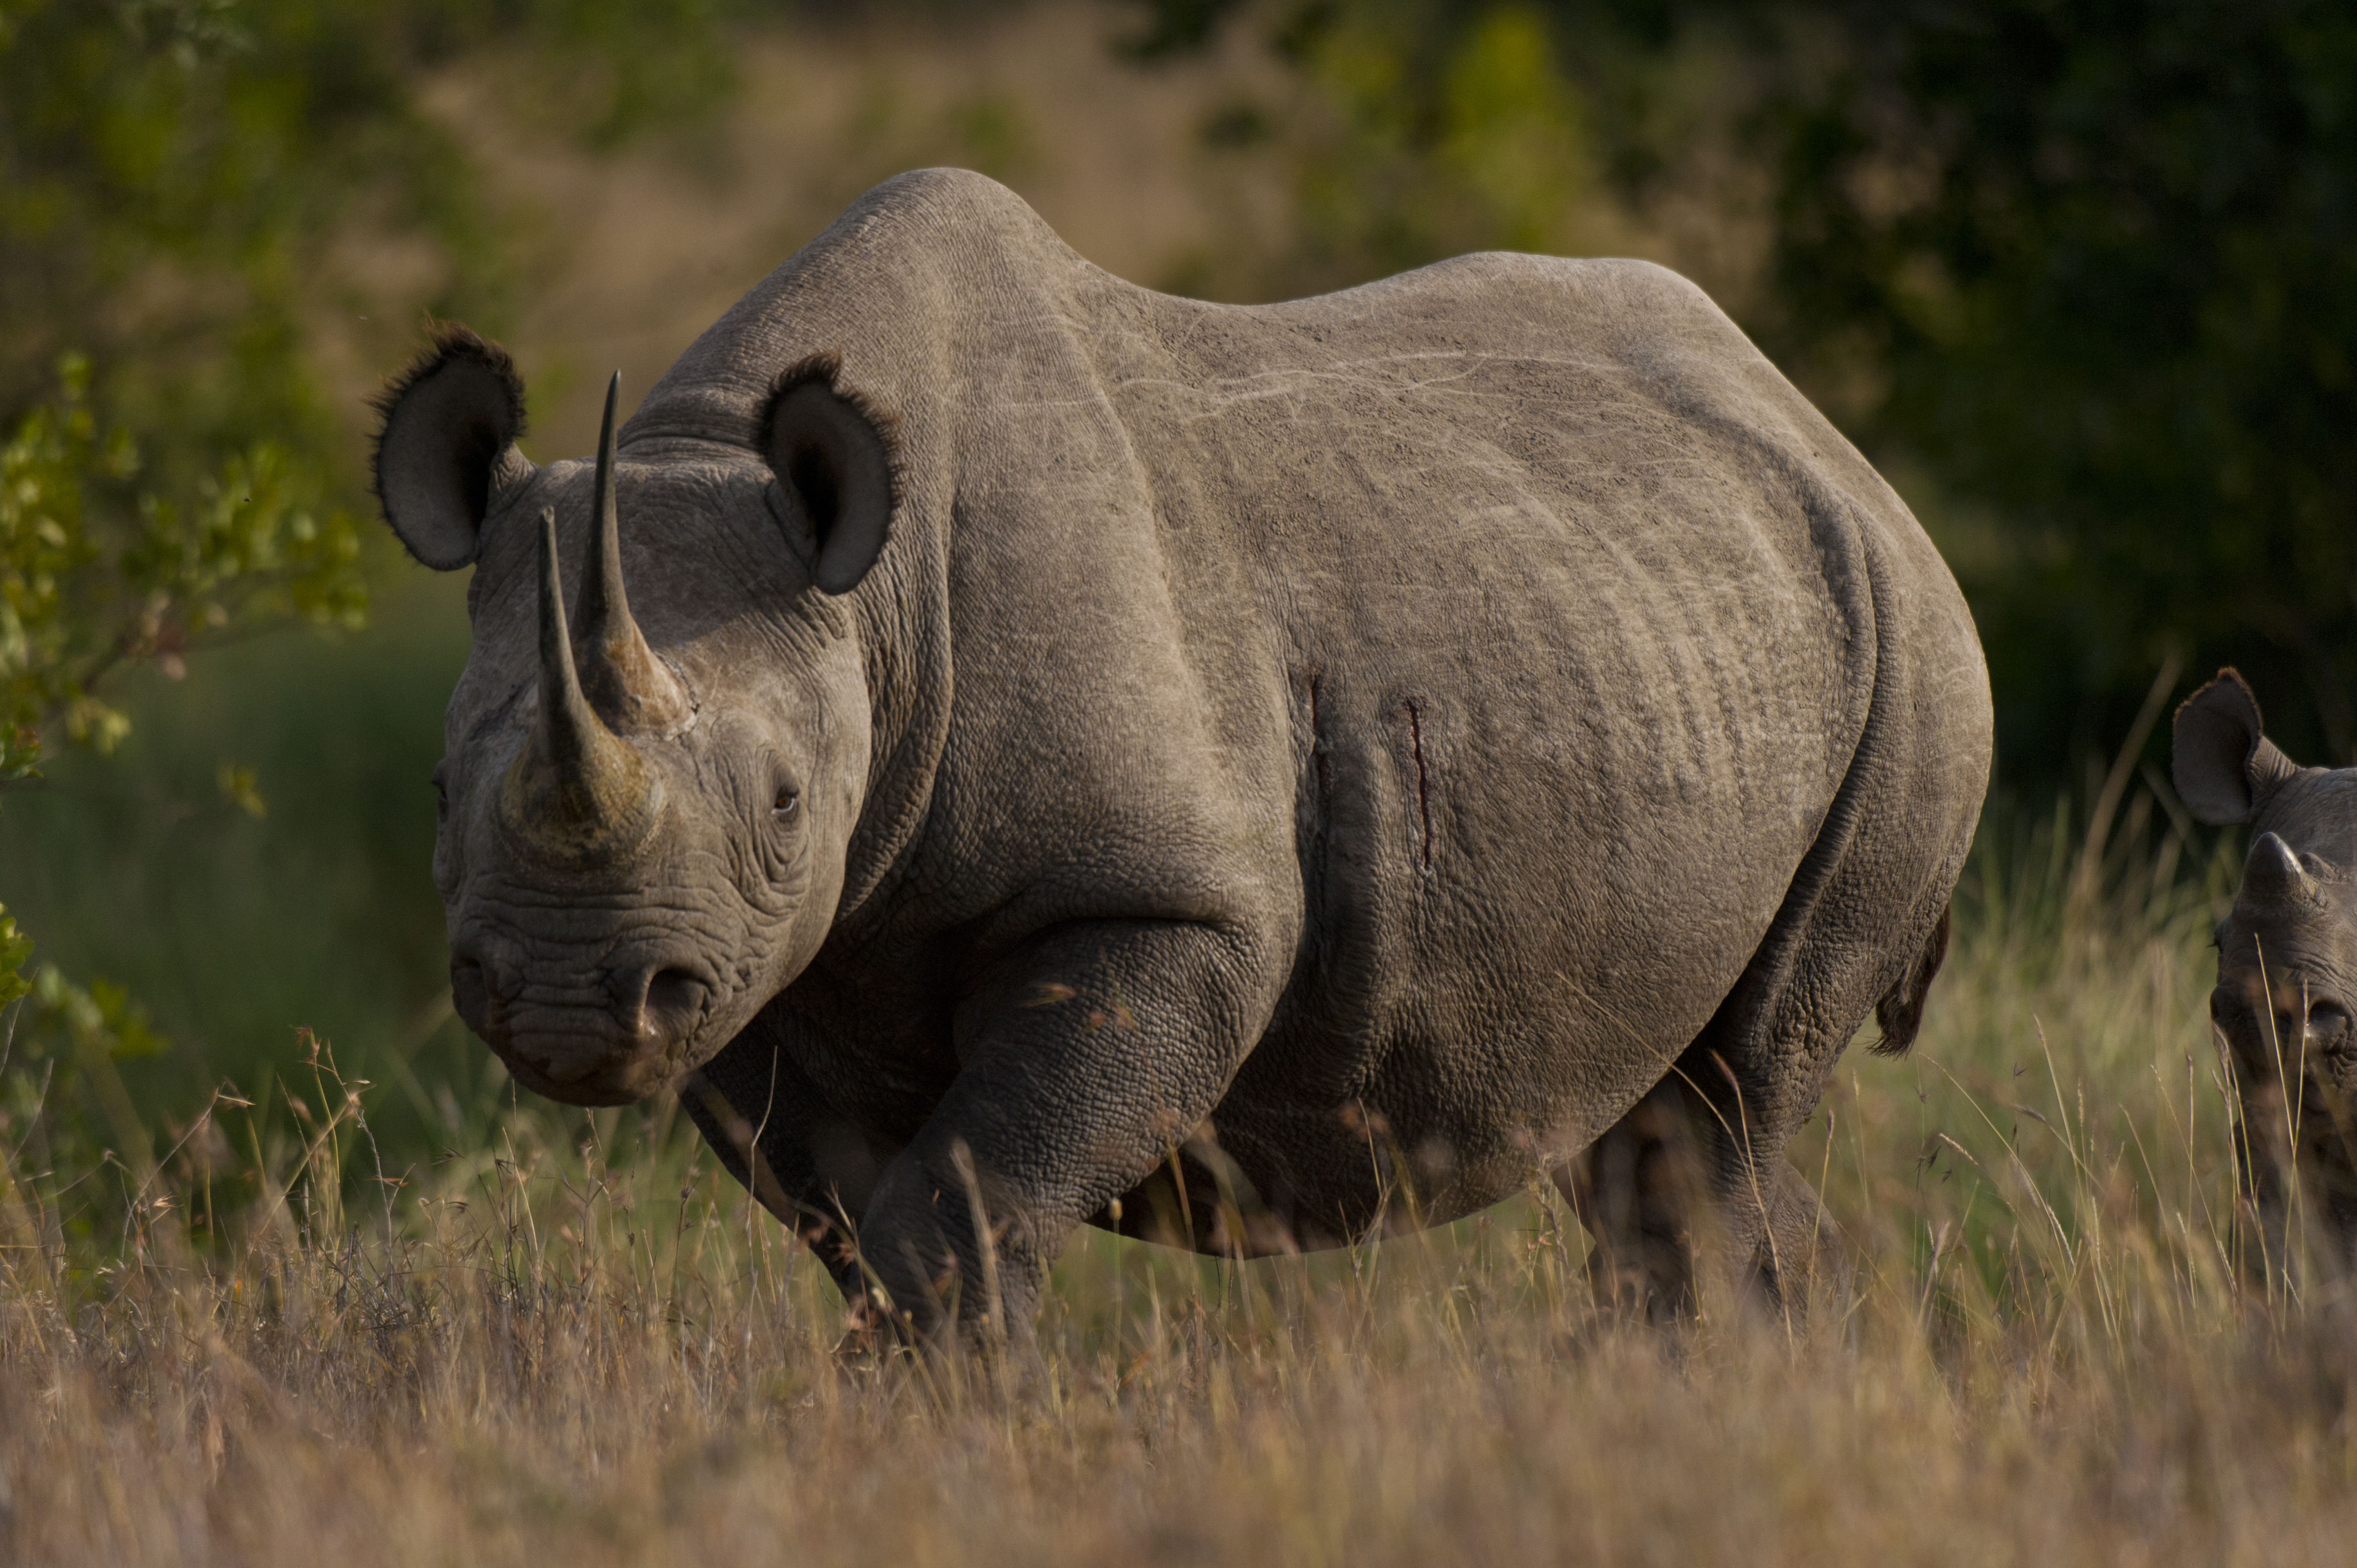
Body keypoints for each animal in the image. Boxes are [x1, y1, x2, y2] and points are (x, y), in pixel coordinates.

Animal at [372, 168, 1991, 1334]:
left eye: (782, 802)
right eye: (440, 793)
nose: (569, 1002)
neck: (875, 606)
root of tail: (1819, 426)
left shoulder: (1169, 902)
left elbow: (956, 1211)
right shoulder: (763, 961)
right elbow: (890, 1225)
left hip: (1919, 662)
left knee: (1734, 1104)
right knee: (1664, 1144)